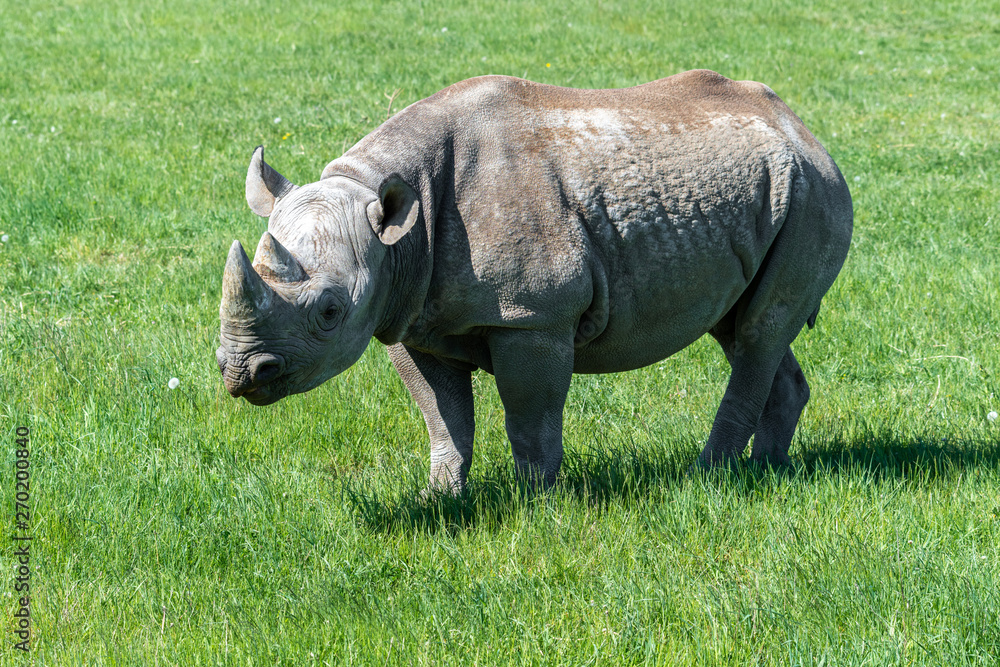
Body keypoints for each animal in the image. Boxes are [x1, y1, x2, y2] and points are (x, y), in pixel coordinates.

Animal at [217, 70, 852, 493]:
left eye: (328, 311)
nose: (242, 372)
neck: (395, 230)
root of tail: (804, 129)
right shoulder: (409, 312)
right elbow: (443, 417)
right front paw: (440, 499)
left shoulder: (532, 316)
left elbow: (530, 415)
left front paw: (537, 503)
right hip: (770, 191)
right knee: (742, 325)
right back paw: (768, 469)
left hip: (813, 191)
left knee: (759, 331)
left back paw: (710, 479)